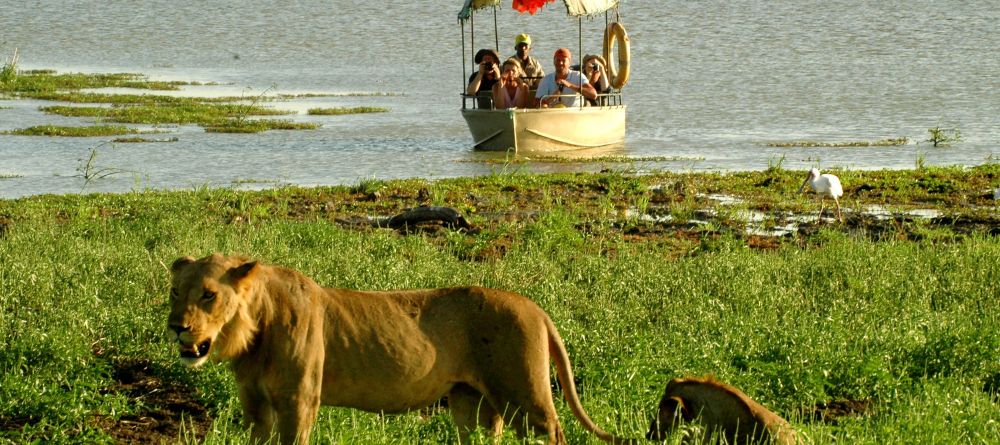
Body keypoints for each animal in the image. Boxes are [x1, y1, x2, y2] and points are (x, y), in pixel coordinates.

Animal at [164, 253, 632, 444]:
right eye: (175, 292)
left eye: (208, 295)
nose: (176, 327)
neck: (254, 332)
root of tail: (535, 307)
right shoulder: (255, 405)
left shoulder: (300, 400)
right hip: (472, 402)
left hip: (525, 395)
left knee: (554, 432)